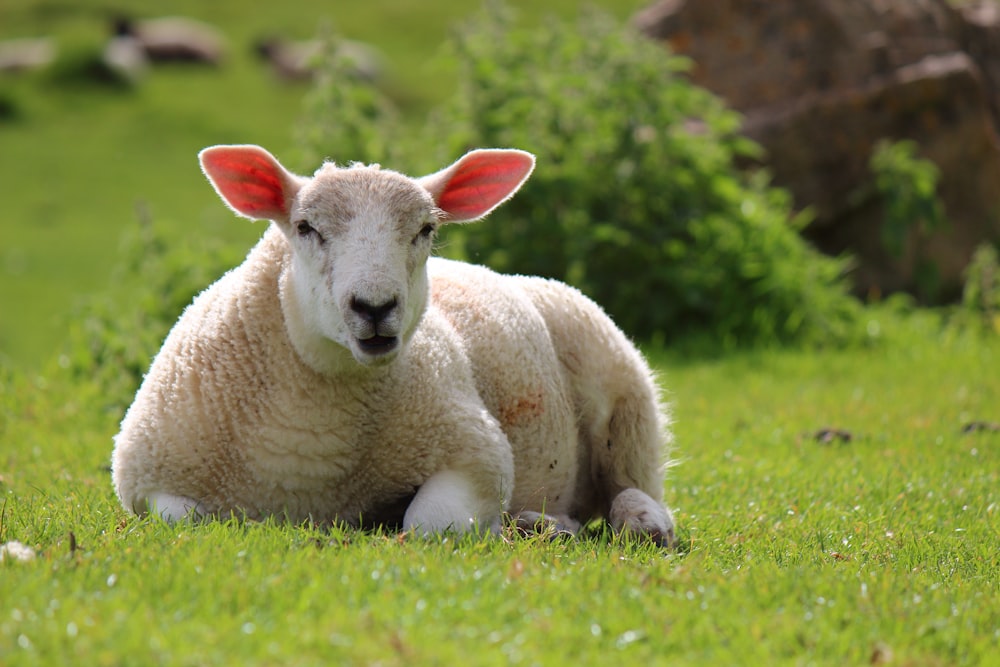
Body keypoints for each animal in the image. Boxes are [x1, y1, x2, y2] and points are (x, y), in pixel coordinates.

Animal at [111, 144, 680, 544]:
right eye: (305, 226)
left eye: (425, 229)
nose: (375, 307)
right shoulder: (149, 480)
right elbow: (189, 520)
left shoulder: (477, 451)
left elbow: (430, 524)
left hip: (626, 399)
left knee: (632, 483)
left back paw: (638, 522)